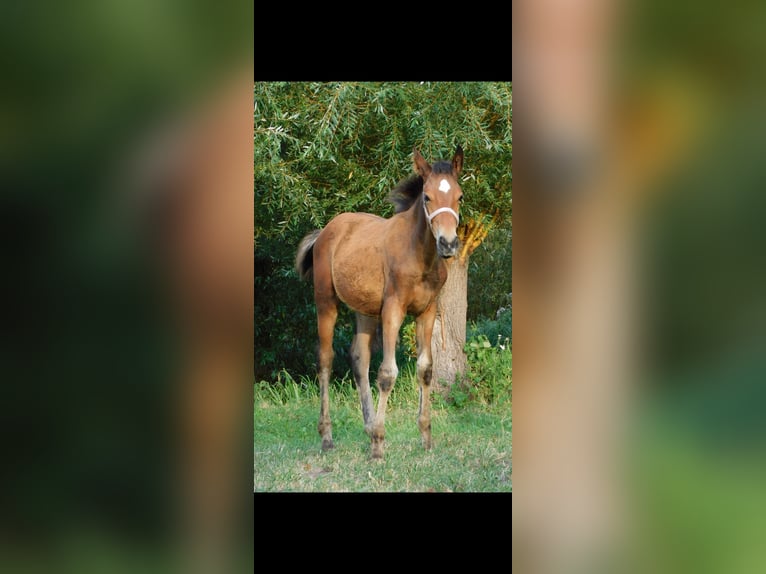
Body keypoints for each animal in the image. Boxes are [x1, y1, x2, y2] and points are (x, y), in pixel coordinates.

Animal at [296, 146, 464, 462]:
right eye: (427, 197)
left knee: (359, 357)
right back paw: (327, 437)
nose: (448, 244)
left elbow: (426, 369)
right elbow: (387, 373)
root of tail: (325, 231)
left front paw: (425, 438)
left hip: (365, 310)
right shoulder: (393, 311)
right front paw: (378, 446)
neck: (420, 256)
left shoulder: (427, 312)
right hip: (326, 301)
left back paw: (368, 426)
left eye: (460, 196)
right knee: (325, 360)